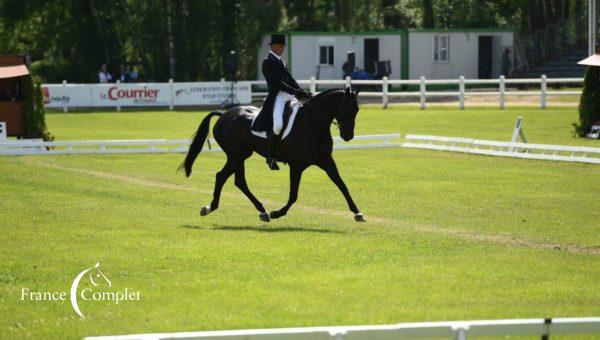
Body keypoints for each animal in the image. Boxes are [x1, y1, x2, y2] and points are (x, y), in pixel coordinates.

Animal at [179, 86, 366, 222]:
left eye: (357, 110)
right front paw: (277, 213)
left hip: (241, 155)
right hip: (236, 155)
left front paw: (357, 213)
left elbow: (342, 185)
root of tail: (224, 114)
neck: (312, 124)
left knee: (231, 179)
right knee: (229, 178)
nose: (348, 136)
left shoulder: (326, 160)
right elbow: (293, 195)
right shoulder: (296, 165)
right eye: (346, 108)